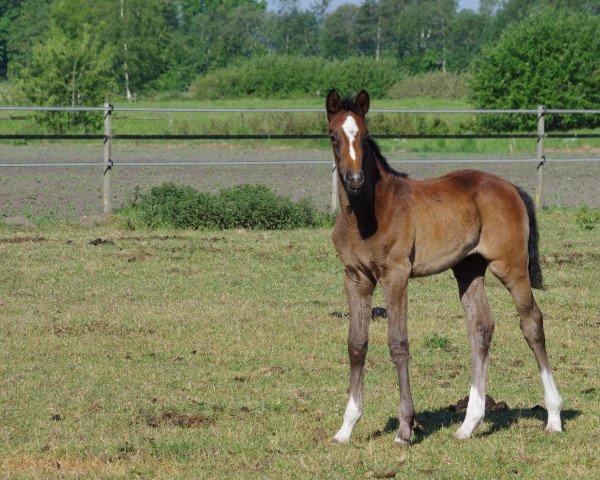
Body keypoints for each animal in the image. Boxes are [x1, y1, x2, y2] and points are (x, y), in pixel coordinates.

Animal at [328, 91, 564, 446]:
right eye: (333, 136)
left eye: (366, 137)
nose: (354, 181)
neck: (368, 212)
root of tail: (510, 187)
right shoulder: (355, 277)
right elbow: (356, 344)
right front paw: (346, 428)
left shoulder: (395, 275)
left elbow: (398, 344)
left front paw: (404, 429)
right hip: (468, 268)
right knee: (481, 328)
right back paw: (469, 424)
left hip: (510, 266)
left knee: (532, 323)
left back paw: (553, 416)